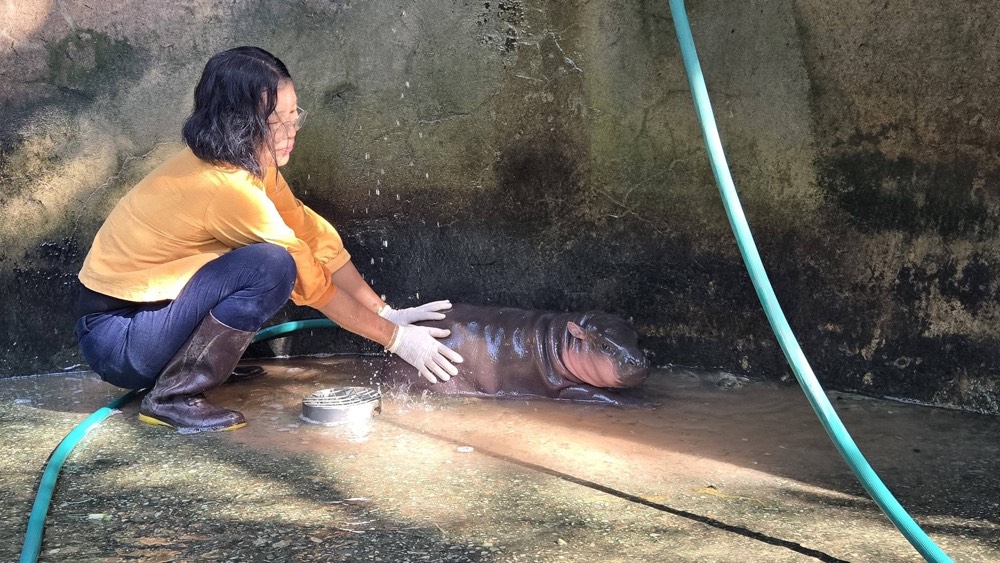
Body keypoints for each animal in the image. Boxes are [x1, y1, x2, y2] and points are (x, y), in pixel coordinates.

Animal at [380, 304, 651, 407]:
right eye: (604, 345)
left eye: (636, 337)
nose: (638, 361)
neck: (559, 341)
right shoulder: (562, 388)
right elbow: (602, 394)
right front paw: (645, 403)